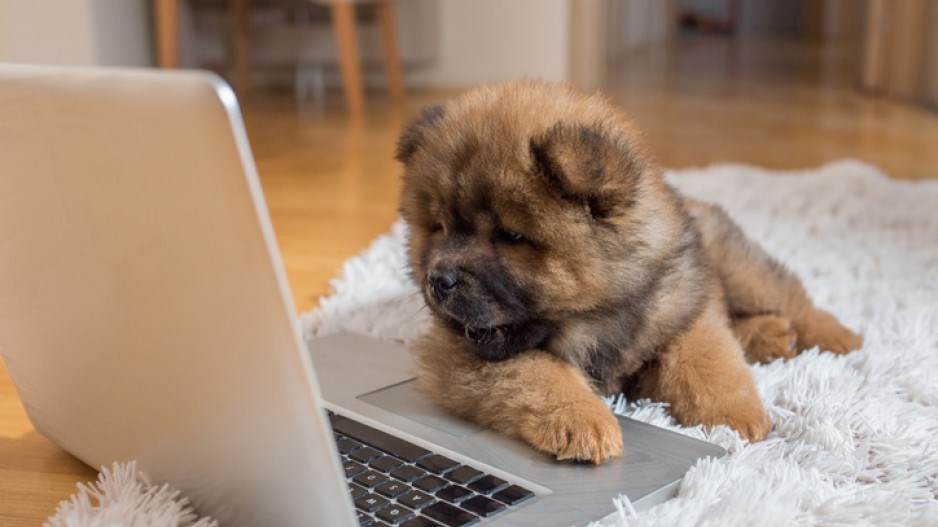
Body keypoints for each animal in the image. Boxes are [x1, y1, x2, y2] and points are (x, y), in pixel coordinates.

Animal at [392, 80, 860, 464]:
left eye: (510, 235)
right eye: (439, 227)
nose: (439, 281)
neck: (594, 318)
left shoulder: (684, 300)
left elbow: (706, 357)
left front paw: (735, 417)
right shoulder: (457, 354)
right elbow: (537, 372)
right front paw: (584, 420)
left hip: (735, 264)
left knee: (789, 296)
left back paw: (834, 336)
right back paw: (774, 336)